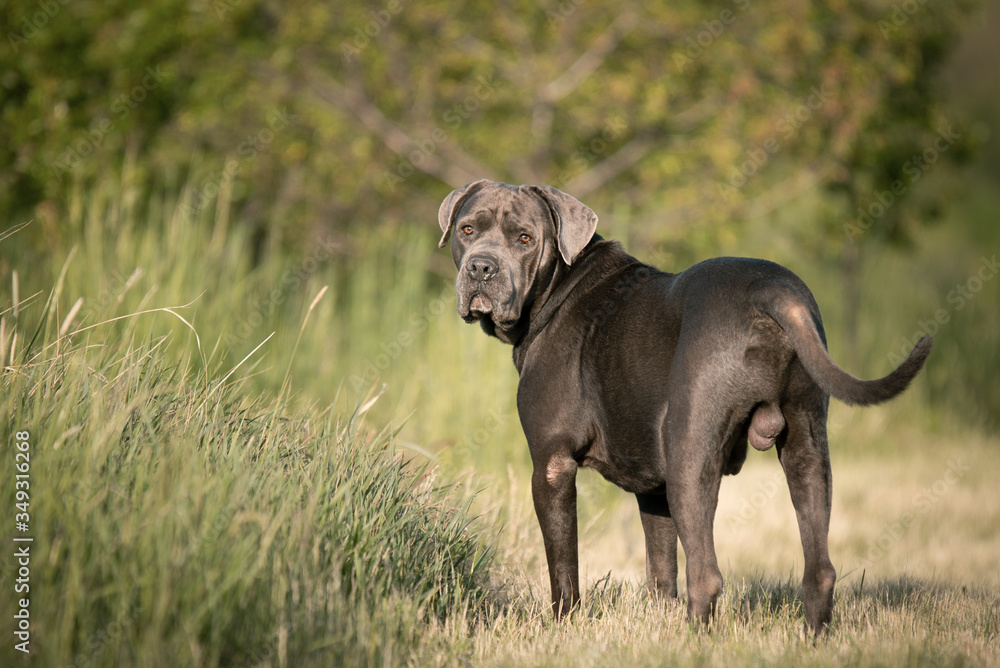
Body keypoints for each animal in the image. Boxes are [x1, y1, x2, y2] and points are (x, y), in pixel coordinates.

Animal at [436, 180, 928, 636]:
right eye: (467, 229)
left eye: (524, 238)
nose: (481, 266)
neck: (557, 286)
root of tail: (771, 291)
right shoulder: (653, 488)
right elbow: (660, 567)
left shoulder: (552, 465)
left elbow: (564, 568)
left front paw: (562, 626)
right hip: (807, 447)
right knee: (819, 568)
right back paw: (813, 637)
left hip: (691, 457)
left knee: (707, 574)